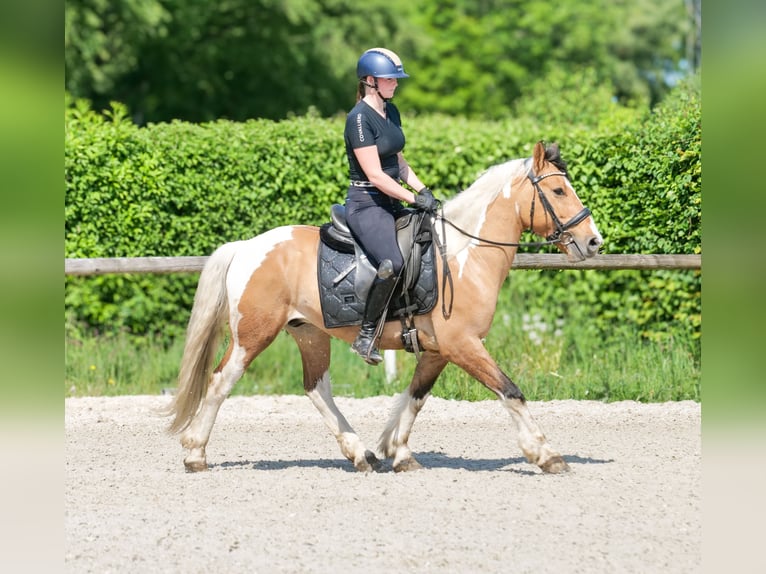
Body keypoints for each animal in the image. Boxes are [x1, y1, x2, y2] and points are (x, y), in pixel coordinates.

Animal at [165, 141, 603, 474]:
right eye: (559, 192)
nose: (594, 241)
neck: (463, 255)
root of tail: (245, 247)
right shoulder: (463, 345)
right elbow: (511, 391)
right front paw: (546, 454)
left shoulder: (439, 351)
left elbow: (415, 397)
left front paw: (399, 451)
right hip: (252, 335)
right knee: (221, 381)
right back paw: (195, 453)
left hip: (309, 333)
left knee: (317, 388)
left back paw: (361, 454)